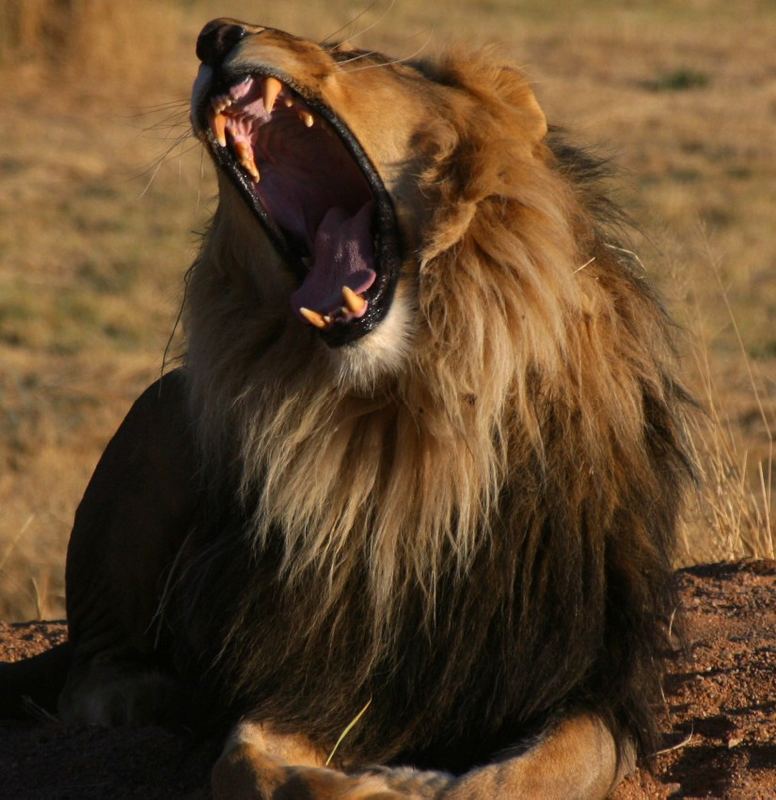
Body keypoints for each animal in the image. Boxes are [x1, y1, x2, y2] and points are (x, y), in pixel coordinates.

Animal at [1, 18, 692, 800]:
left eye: (353, 55)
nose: (216, 33)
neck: (397, 416)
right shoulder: (310, 667)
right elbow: (251, 763)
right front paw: (389, 783)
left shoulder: (582, 672)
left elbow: (532, 773)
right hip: (159, 411)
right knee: (87, 670)